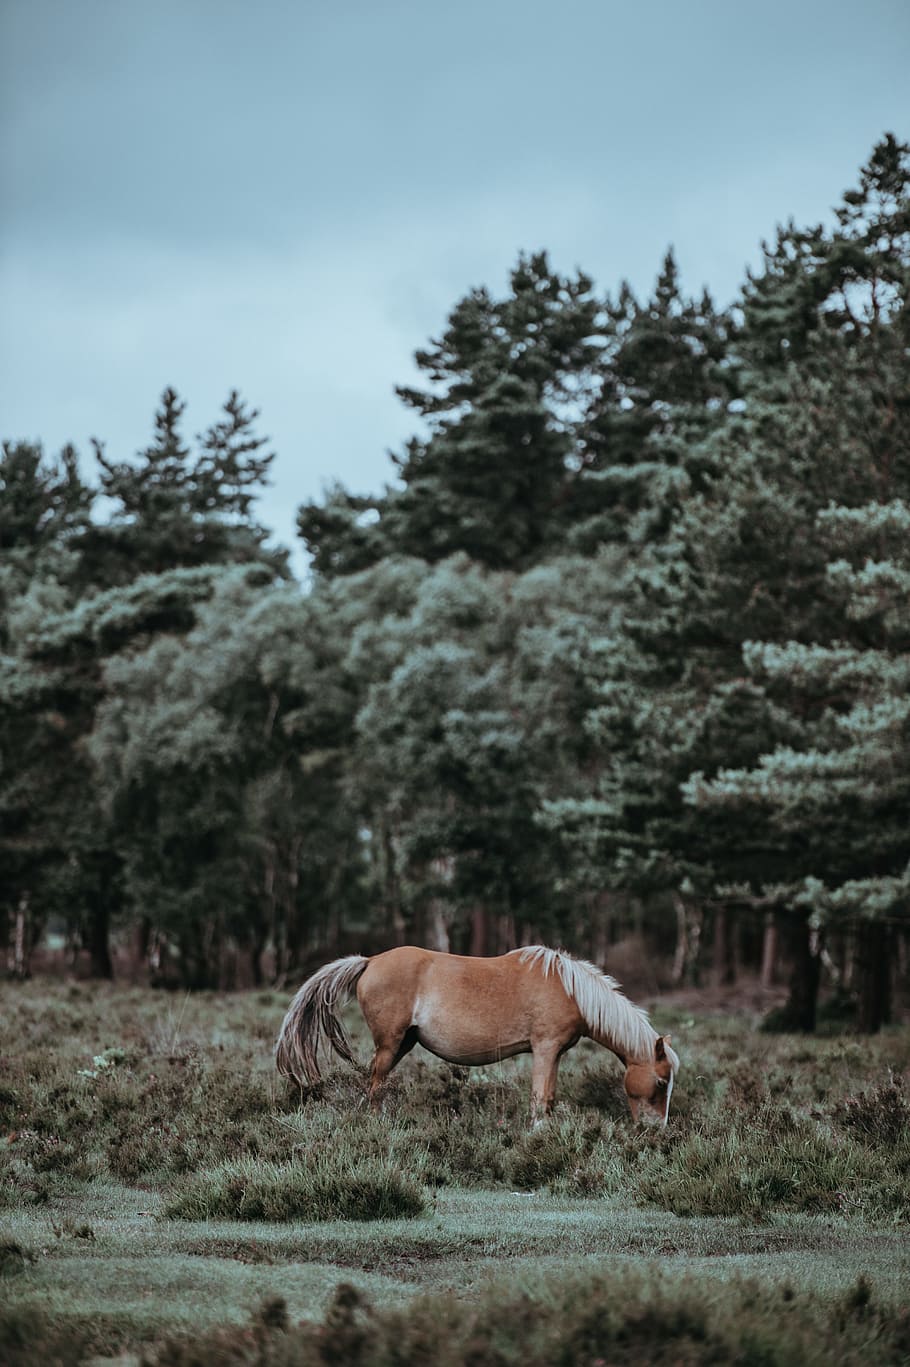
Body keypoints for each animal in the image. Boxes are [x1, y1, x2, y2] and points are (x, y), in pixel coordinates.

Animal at [275, 945, 679, 1126]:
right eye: (661, 1083)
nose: (656, 1129)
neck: (569, 989)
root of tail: (370, 961)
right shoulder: (545, 1048)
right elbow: (539, 1100)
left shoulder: (555, 1053)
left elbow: (547, 1098)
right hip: (389, 1045)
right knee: (375, 1087)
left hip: (403, 1043)